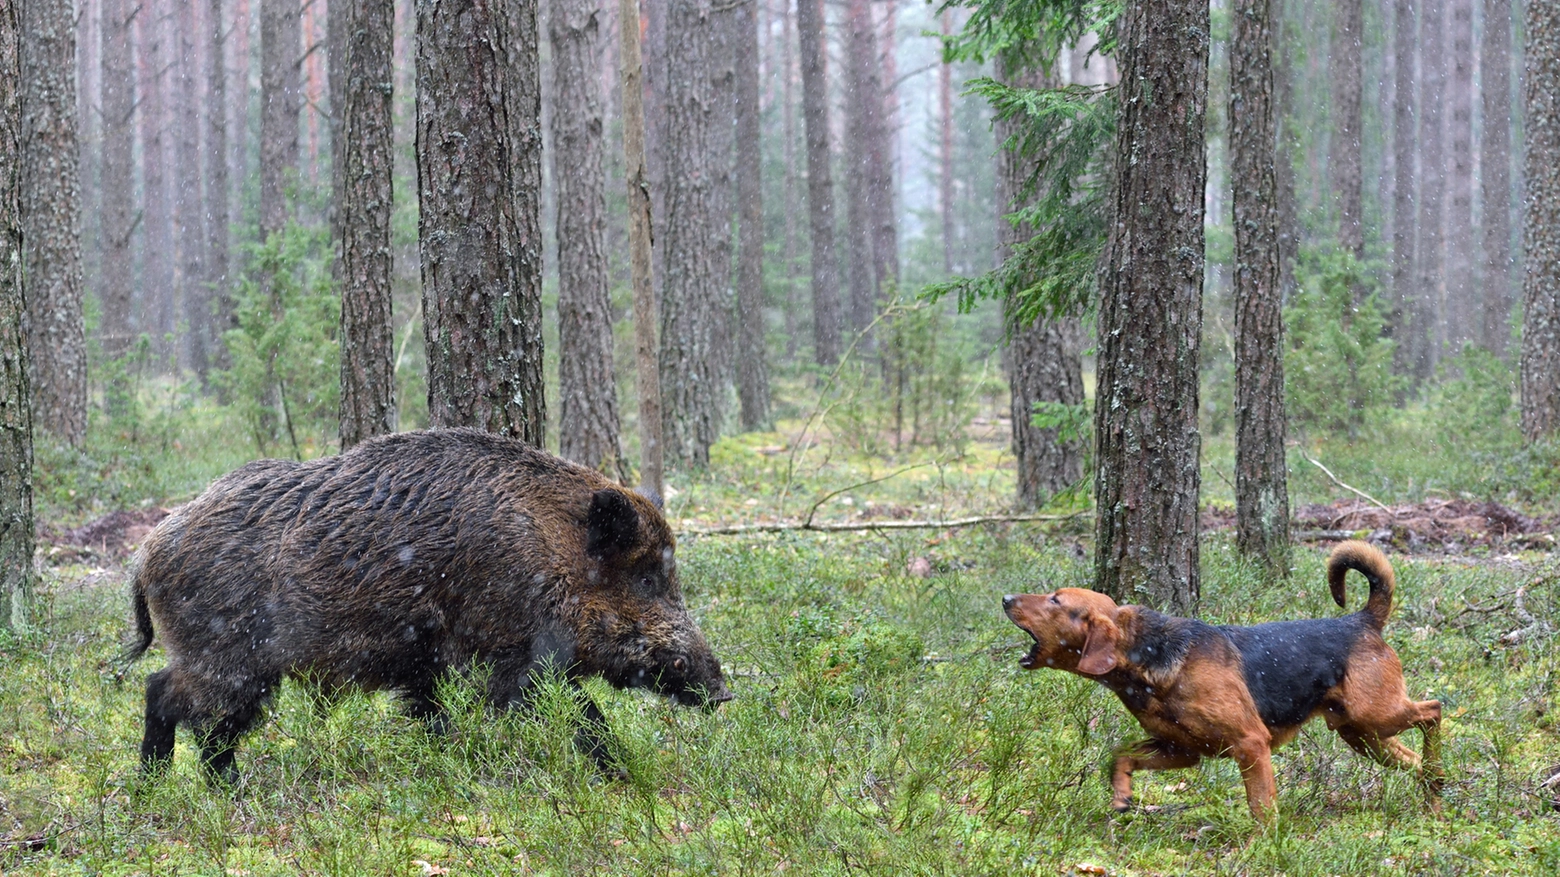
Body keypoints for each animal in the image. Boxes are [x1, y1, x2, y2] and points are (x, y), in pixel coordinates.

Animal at [1004, 539, 1441, 817]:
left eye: (1056, 600)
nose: (1005, 598)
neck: (1149, 656)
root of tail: (1363, 620)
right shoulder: (1180, 750)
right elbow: (1120, 754)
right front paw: (1122, 797)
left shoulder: (1251, 745)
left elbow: (1262, 809)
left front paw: (1262, 851)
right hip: (1362, 735)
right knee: (1415, 759)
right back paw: (1434, 799)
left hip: (1375, 715)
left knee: (1434, 710)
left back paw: (1438, 776)